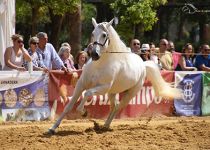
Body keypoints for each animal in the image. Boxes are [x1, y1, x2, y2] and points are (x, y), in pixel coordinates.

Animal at [48, 18, 182, 134]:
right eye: (93, 33)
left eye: (104, 35)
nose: (94, 54)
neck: (99, 65)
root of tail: (143, 65)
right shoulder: (81, 85)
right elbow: (68, 106)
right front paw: (52, 128)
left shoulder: (103, 87)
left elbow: (87, 94)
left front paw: (84, 112)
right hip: (112, 93)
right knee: (114, 106)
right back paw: (104, 126)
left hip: (130, 93)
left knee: (118, 107)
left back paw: (105, 126)